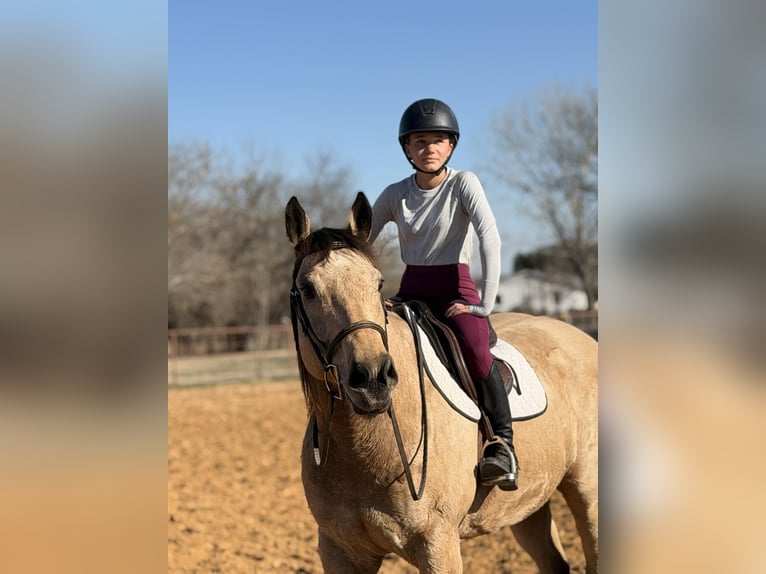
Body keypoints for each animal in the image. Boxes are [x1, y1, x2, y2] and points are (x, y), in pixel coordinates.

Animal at [285, 192, 598, 573]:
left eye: (377, 283)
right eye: (307, 288)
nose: (373, 377)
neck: (364, 444)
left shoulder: (437, 544)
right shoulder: (339, 551)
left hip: (587, 491)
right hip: (528, 505)